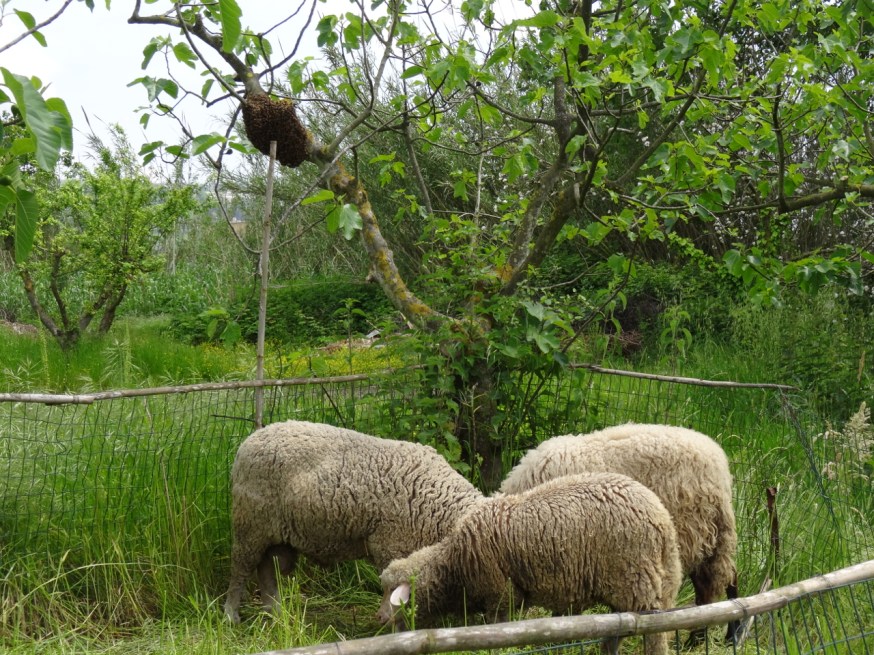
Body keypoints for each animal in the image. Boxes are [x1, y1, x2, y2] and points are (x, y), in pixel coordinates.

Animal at [223, 420, 484, 623]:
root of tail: (251, 439)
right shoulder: (391, 547)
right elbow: (394, 592)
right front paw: (395, 622)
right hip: (251, 525)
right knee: (240, 570)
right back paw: (231, 615)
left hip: (278, 536)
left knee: (268, 570)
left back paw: (276, 614)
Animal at [379, 472, 682, 655]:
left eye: (394, 594)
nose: (378, 618)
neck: (453, 564)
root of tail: (663, 519)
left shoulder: (500, 593)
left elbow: (498, 628)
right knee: (616, 630)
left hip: (635, 580)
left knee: (654, 632)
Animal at [500, 423, 739, 643]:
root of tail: (717, 457)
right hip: (710, 532)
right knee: (725, 578)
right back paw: (723, 636)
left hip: (692, 529)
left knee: (711, 585)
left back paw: (705, 638)